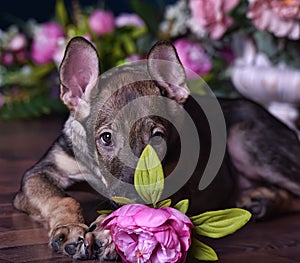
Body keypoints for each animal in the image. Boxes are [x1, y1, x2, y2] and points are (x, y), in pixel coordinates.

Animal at [13, 37, 300, 262]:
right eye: (106, 138)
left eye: (157, 138)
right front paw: (71, 229)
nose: (134, 197)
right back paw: (262, 200)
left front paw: (109, 234)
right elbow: (60, 198)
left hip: (247, 142)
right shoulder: (40, 172)